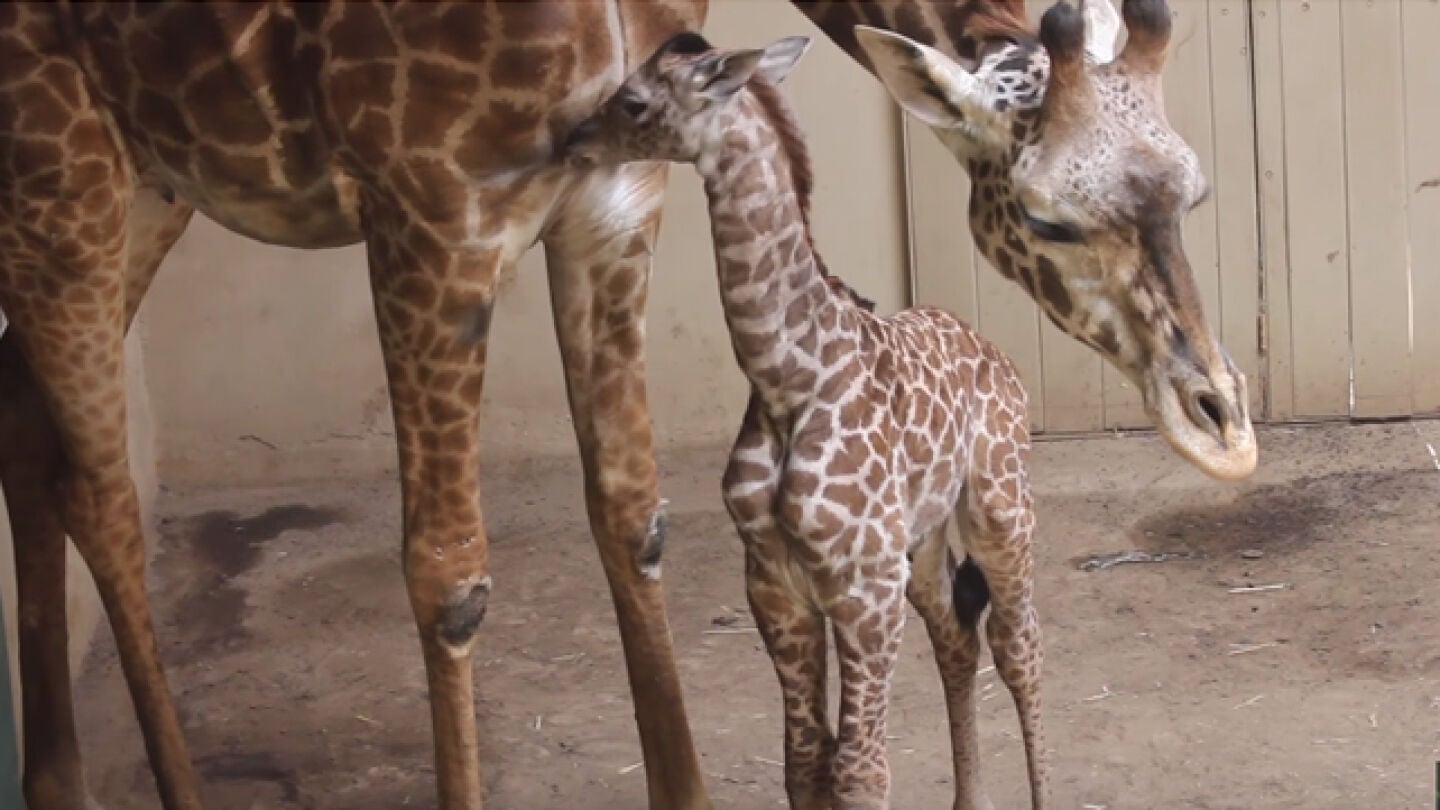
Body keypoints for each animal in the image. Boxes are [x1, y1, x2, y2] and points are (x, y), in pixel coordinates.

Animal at [566, 32, 1043, 810]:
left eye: (632, 101)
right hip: (924, 545)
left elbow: (860, 770)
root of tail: (997, 353)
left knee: (1020, 650)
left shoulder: (862, 590)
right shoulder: (776, 586)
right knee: (958, 640)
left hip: (1001, 514)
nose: (572, 141)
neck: (789, 380)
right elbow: (806, 760)